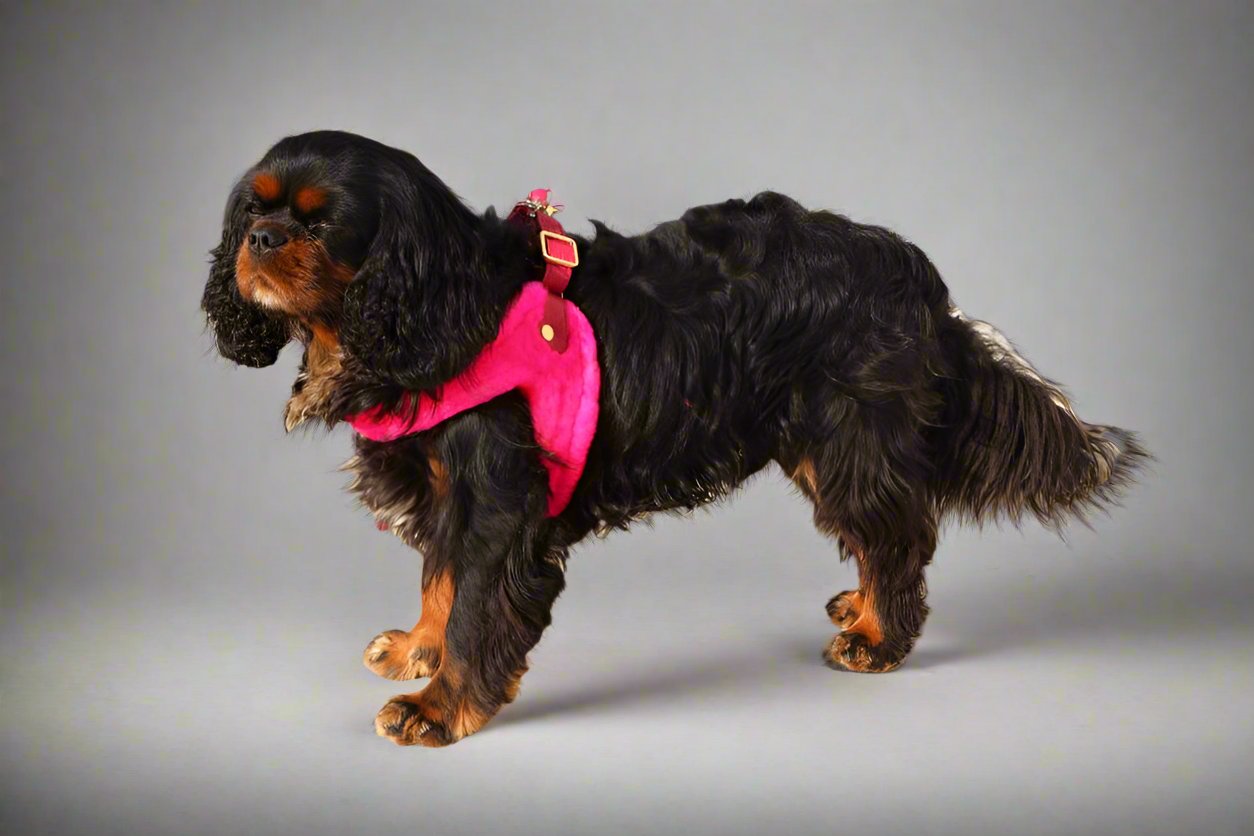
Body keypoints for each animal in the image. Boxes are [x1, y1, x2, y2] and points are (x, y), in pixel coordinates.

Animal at [203, 132, 1148, 752]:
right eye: (254, 204)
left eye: (322, 225)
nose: (260, 239)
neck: (439, 304)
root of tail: (911, 271)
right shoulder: (446, 492)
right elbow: (440, 580)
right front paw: (418, 649)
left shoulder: (495, 501)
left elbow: (475, 603)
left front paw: (441, 705)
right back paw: (864, 608)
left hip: (848, 441)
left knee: (899, 538)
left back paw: (882, 636)